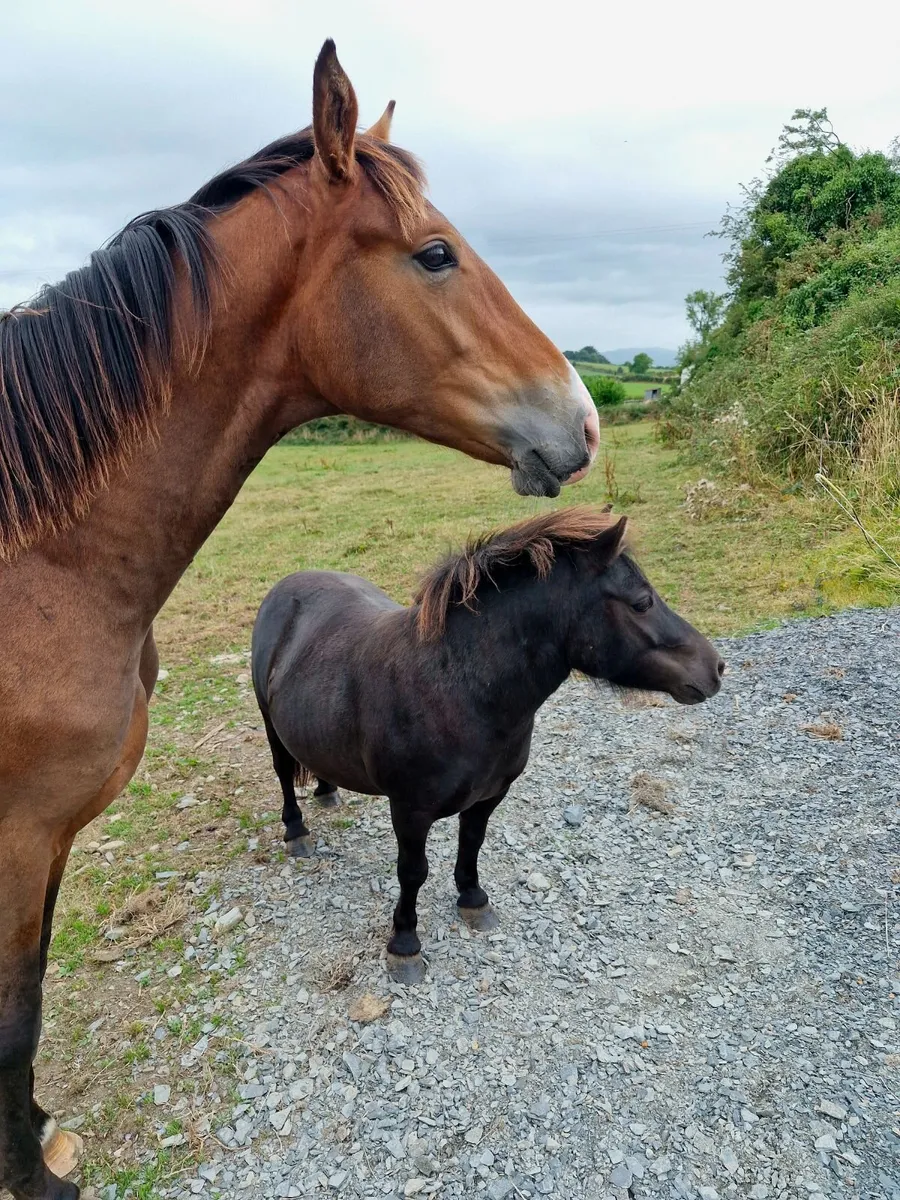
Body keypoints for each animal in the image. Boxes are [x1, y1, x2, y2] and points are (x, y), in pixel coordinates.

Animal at [0, 41, 600, 1200]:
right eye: (434, 254)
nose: (585, 420)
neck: (47, 561)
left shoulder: (47, 840)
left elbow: (34, 995)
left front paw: (41, 1132)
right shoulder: (15, 838)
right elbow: (13, 1020)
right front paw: (38, 1177)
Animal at [251, 507, 725, 985]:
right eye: (642, 602)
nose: (715, 667)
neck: (456, 690)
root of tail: (287, 586)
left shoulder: (489, 795)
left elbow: (472, 842)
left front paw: (473, 900)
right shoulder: (409, 810)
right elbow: (412, 873)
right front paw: (404, 944)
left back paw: (327, 790)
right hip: (270, 723)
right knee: (283, 774)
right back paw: (297, 832)